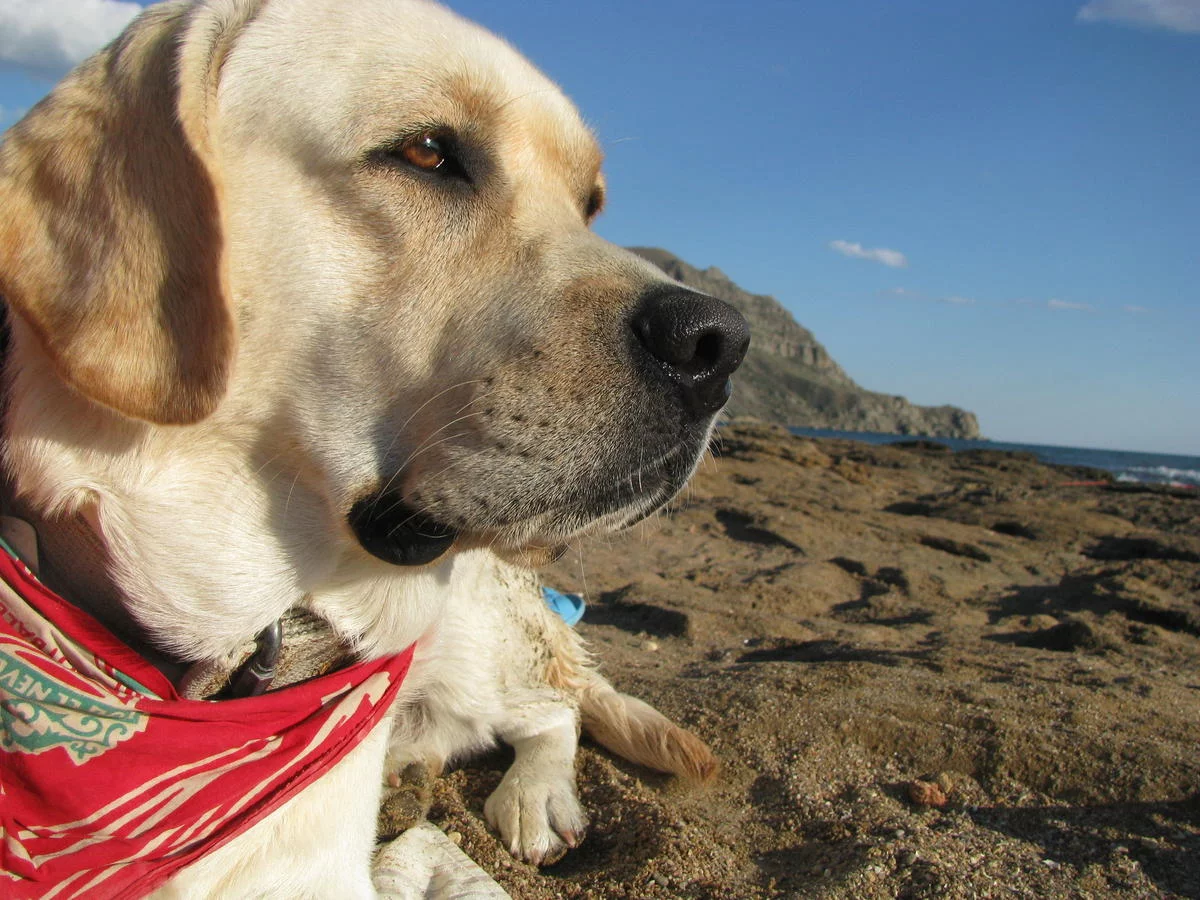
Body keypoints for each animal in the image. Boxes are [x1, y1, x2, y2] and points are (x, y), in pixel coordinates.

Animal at [0, 0, 747, 896]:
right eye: (426, 152)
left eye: (589, 202)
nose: (719, 345)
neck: (223, 664)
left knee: (554, 710)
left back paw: (533, 797)